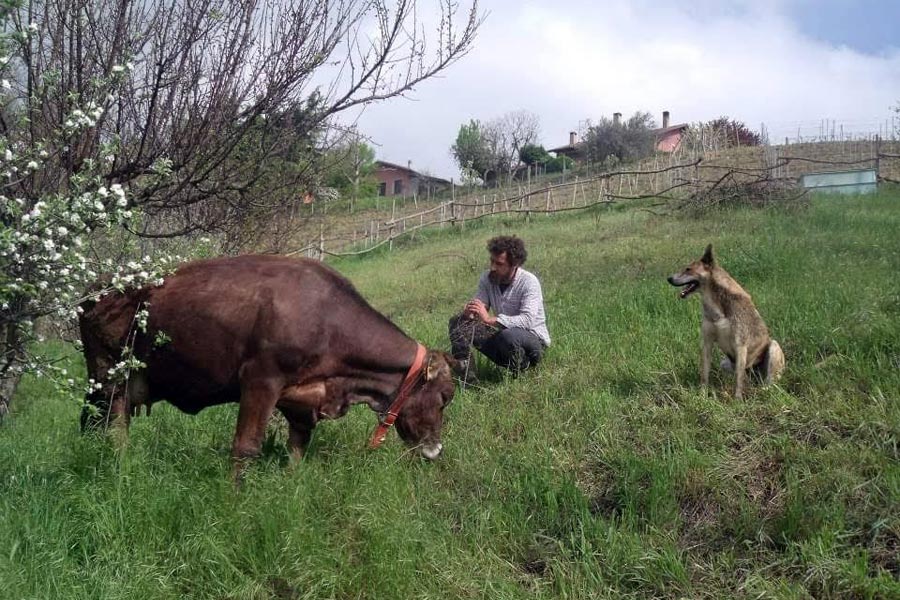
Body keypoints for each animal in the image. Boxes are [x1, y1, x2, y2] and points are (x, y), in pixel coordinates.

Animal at [77, 253, 458, 468]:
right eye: (444, 398)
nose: (437, 450)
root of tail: (98, 285)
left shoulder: (303, 400)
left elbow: (298, 447)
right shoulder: (261, 380)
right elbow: (245, 448)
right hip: (109, 378)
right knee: (113, 428)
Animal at [664, 244, 784, 398]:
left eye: (688, 269)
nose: (669, 278)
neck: (717, 305)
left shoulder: (740, 345)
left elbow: (738, 379)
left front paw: (737, 399)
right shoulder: (707, 342)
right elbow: (704, 373)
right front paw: (703, 395)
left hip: (773, 348)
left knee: (768, 382)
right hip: (725, 363)